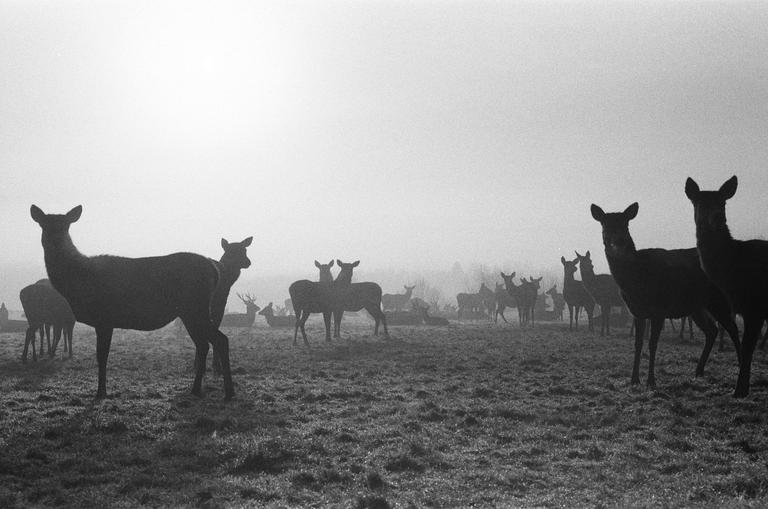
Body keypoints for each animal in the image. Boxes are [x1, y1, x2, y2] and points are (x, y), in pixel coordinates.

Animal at [30, 205, 234, 400]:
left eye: (66, 226)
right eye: (44, 225)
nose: (55, 241)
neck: (77, 283)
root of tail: (214, 270)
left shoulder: (104, 318)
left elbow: (102, 356)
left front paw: (101, 392)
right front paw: (102, 391)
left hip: (196, 308)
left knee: (220, 340)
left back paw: (228, 392)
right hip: (190, 312)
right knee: (204, 344)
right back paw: (197, 389)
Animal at [591, 202, 741, 388]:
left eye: (626, 224)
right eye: (605, 225)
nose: (619, 240)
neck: (635, 281)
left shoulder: (659, 309)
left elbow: (653, 344)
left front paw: (651, 381)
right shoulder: (637, 311)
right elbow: (638, 344)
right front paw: (634, 379)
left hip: (718, 299)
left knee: (733, 329)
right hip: (697, 306)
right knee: (712, 330)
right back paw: (698, 371)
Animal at [685, 176, 768, 397]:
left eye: (723, 203)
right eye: (700, 202)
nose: (718, 217)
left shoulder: (754, 305)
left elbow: (747, 347)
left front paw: (739, 390)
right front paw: (743, 387)